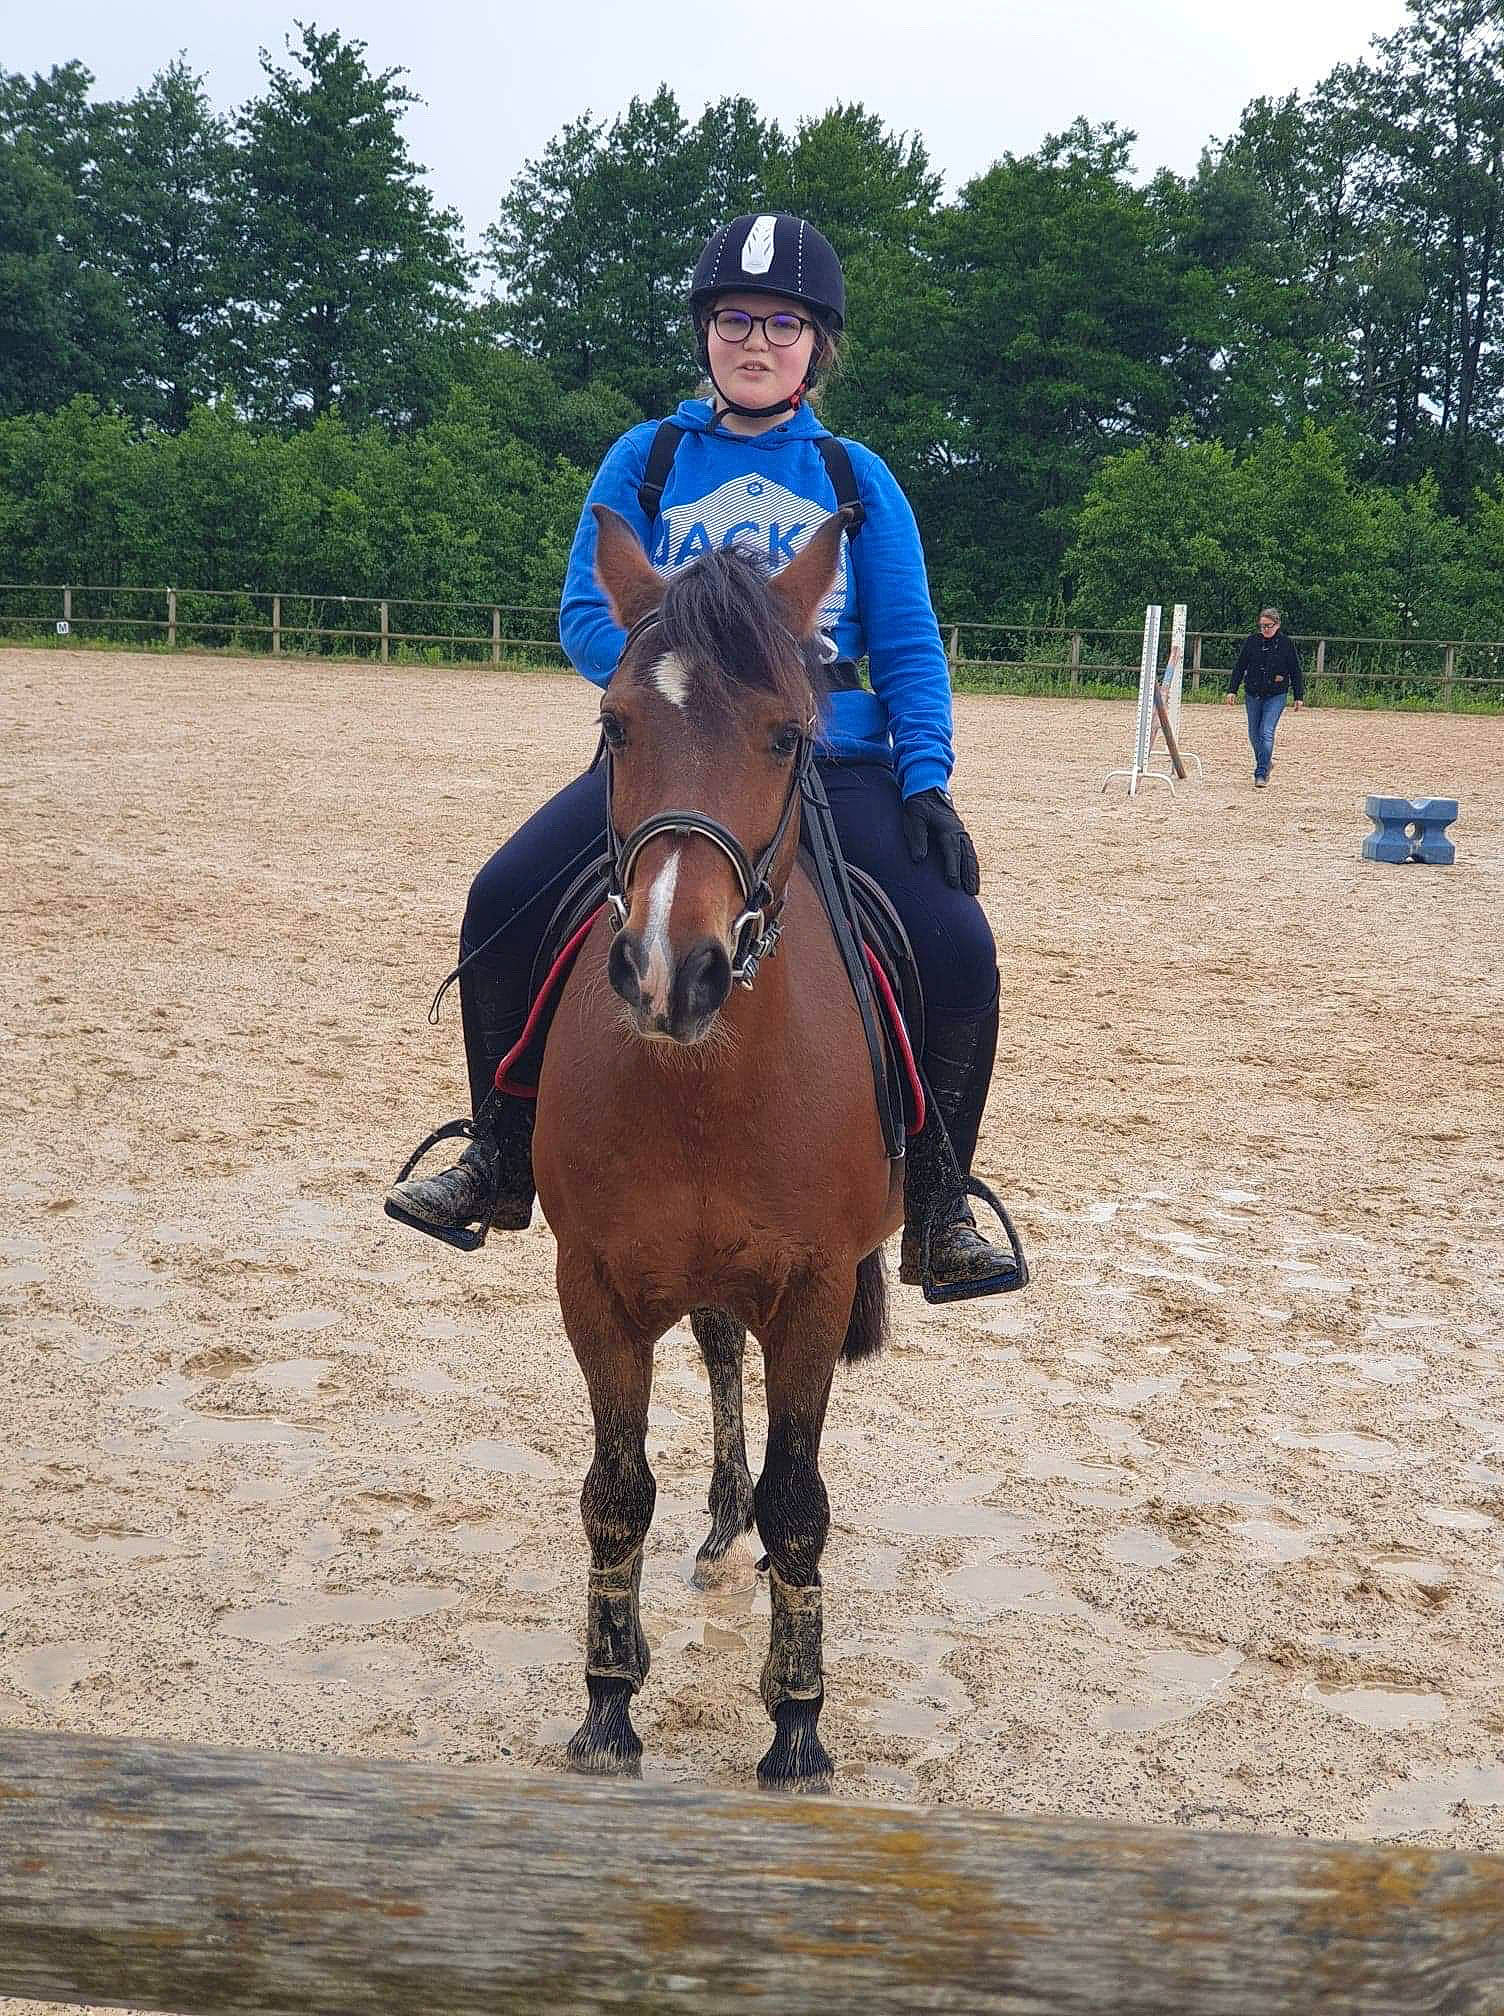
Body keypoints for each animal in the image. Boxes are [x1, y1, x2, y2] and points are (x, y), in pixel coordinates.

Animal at [531, 504, 903, 1788]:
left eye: (788, 736)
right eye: (613, 725)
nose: (668, 970)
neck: (706, 1085)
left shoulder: (814, 1287)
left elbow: (803, 1504)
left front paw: (796, 1722)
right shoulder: (592, 1281)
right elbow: (613, 1491)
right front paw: (606, 1702)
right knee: (713, 1349)